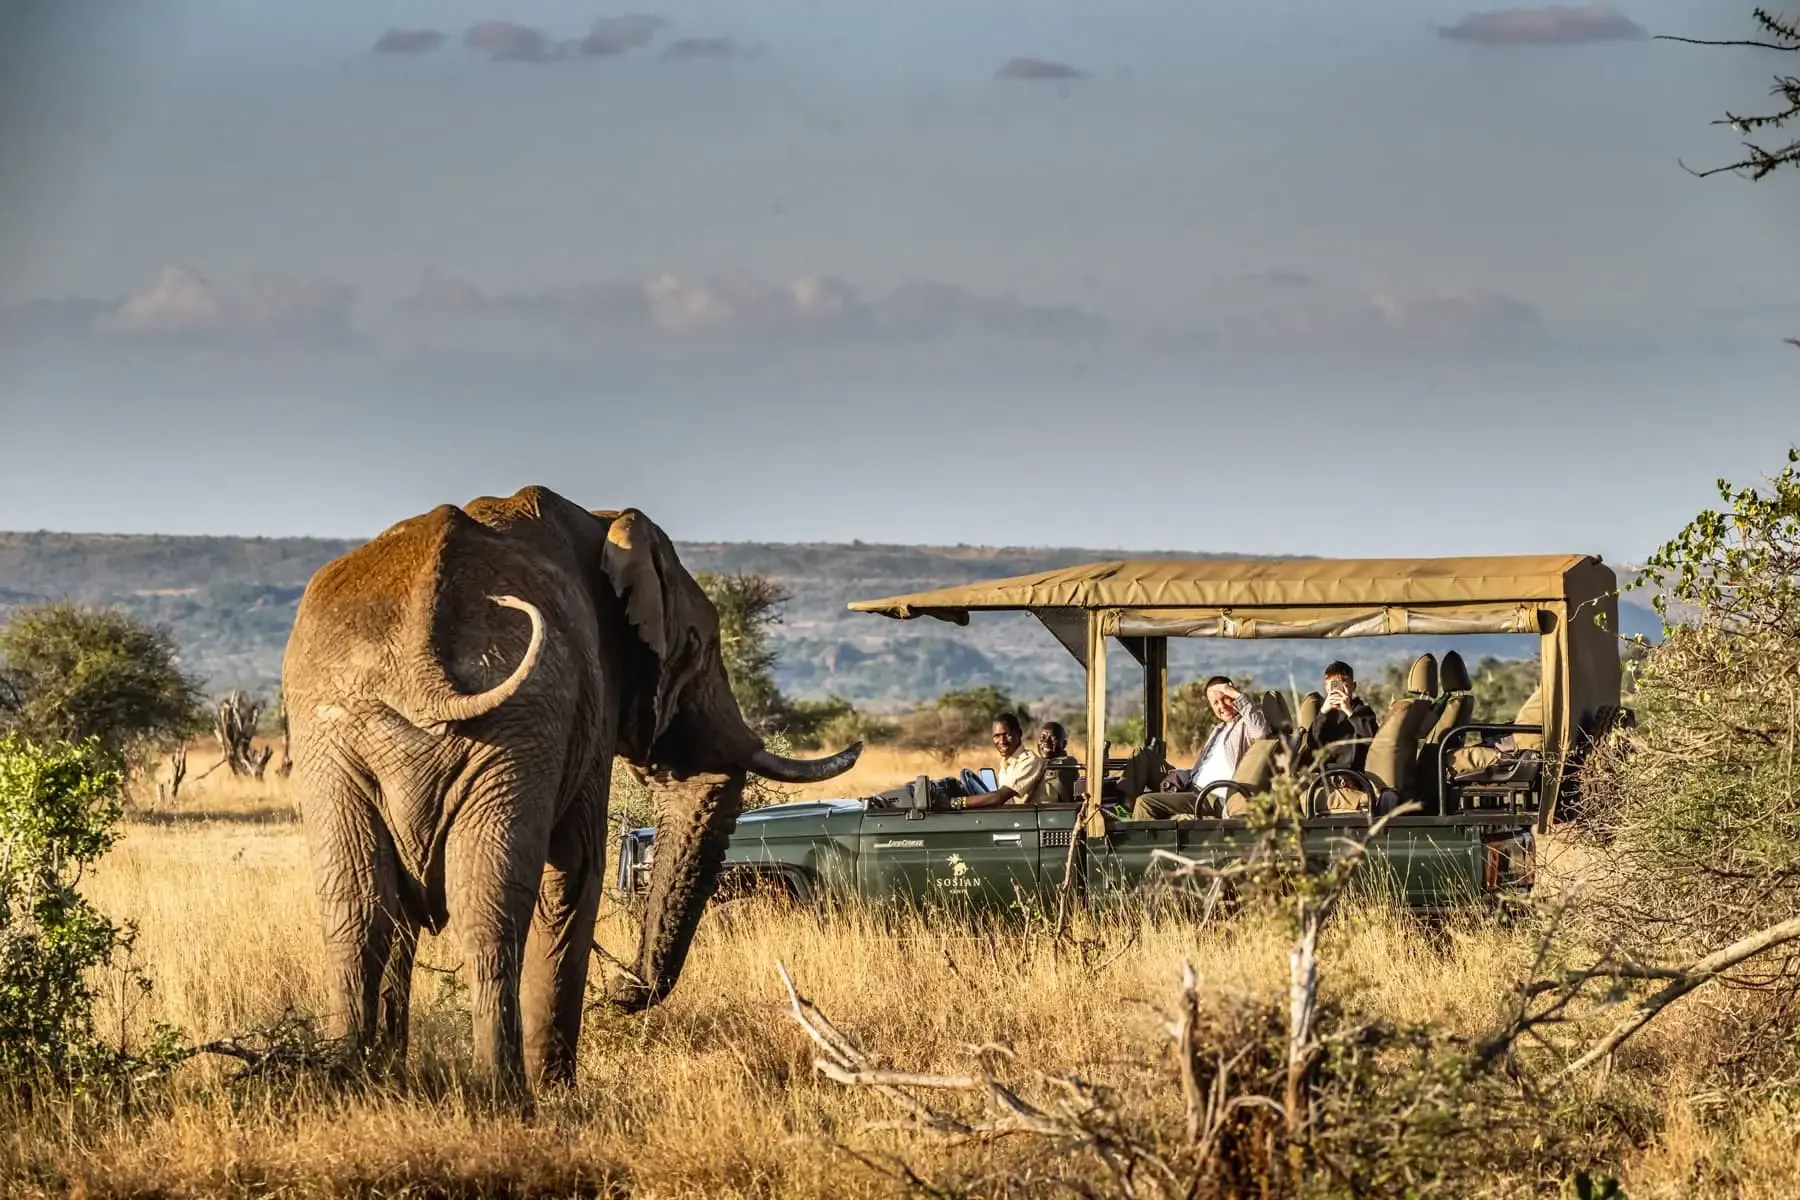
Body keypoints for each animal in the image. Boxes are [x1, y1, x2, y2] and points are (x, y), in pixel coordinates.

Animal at [279, 485, 860, 1099]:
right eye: (695, 646)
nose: (624, 989)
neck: (605, 523)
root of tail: (421, 656)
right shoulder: (588, 706)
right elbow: (578, 868)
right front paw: (558, 1090)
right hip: (513, 723)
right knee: (490, 909)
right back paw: (508, 1097)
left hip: (336, 737)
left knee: (359, 909)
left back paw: (350, 1082)